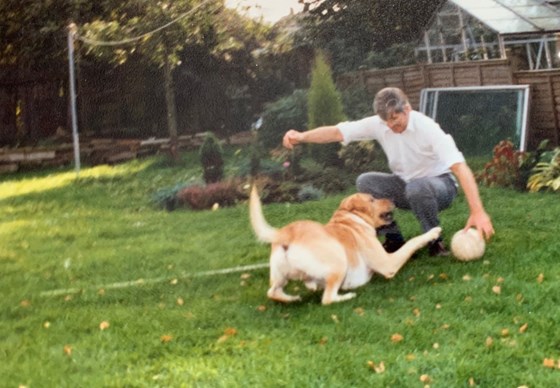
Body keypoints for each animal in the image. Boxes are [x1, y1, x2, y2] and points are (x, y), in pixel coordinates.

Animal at [249, 186, 442, 304]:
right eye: (372, 200)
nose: (393, 198)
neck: (350, 219)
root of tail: (286, 232)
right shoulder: (388, 264)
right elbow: (412, 242)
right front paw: (432, 232)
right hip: (339, 260)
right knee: (327, 298)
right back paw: (347, 294)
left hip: (280, 276)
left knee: (273, 292)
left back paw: (294, 297)